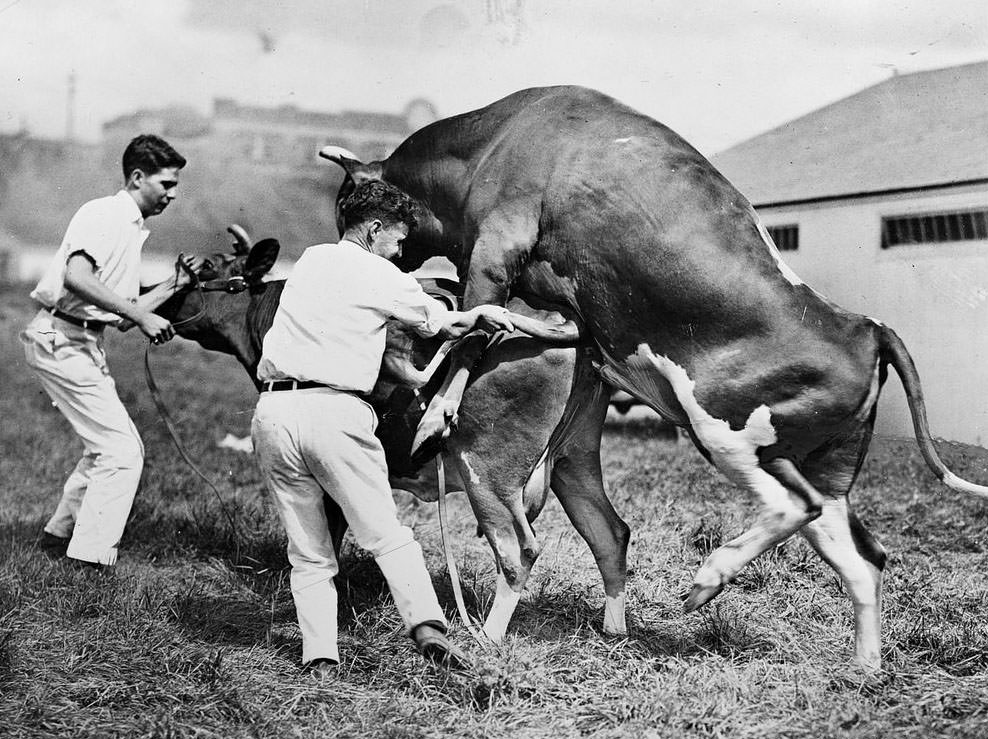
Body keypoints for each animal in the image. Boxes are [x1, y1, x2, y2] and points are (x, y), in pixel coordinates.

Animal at [322, 85, 988, 672]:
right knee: (860, 557)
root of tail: (863, 326)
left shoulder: (495, 248)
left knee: (789, 507)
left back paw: (704, 582)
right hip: (819, 467)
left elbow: (469, 335)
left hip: (721, 428)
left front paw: (436, 414)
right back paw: (862, 668)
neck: (493, 138)